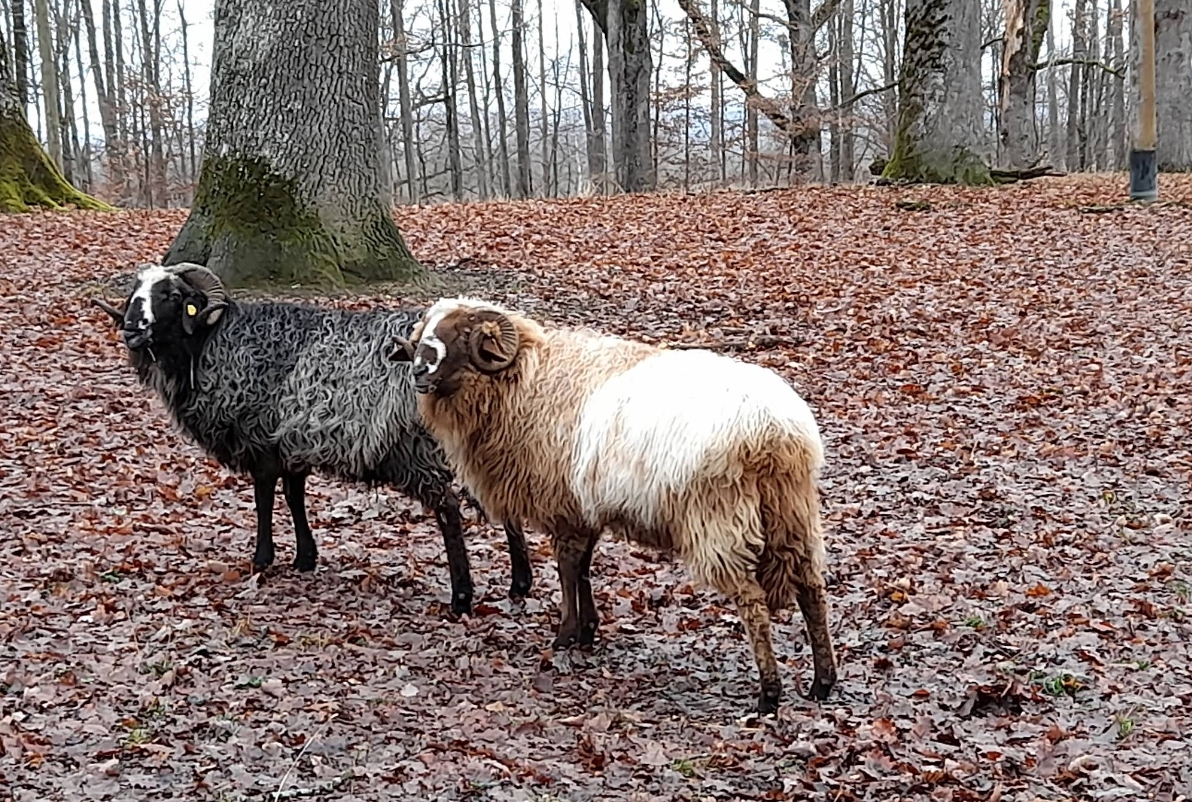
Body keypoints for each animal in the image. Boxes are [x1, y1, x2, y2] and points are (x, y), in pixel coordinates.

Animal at [89, 264, 533, 615]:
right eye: (136, 292)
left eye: (173, 295)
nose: (132, 328)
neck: (214, 343)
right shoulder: (291, 442)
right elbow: (294, 495)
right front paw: (305, 557)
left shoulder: (262, 440)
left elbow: (265, 498)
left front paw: (262, 559)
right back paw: (519, 586)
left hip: (421, 448)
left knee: (449, 511)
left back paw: (462, 598)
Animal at [386, 297, 837, 713]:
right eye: (425, 331)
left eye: (463, 334)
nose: (419, 371)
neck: (526, 380)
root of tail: (776, 432)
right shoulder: (584, 509)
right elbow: (584, 568)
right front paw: (588, 631)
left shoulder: (563, 505)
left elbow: (567, 569)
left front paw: (565, 635)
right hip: (791, 512)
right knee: (812, 589)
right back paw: (823, 683)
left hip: (720, 518)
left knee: (752, 601)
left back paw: (769, 694)